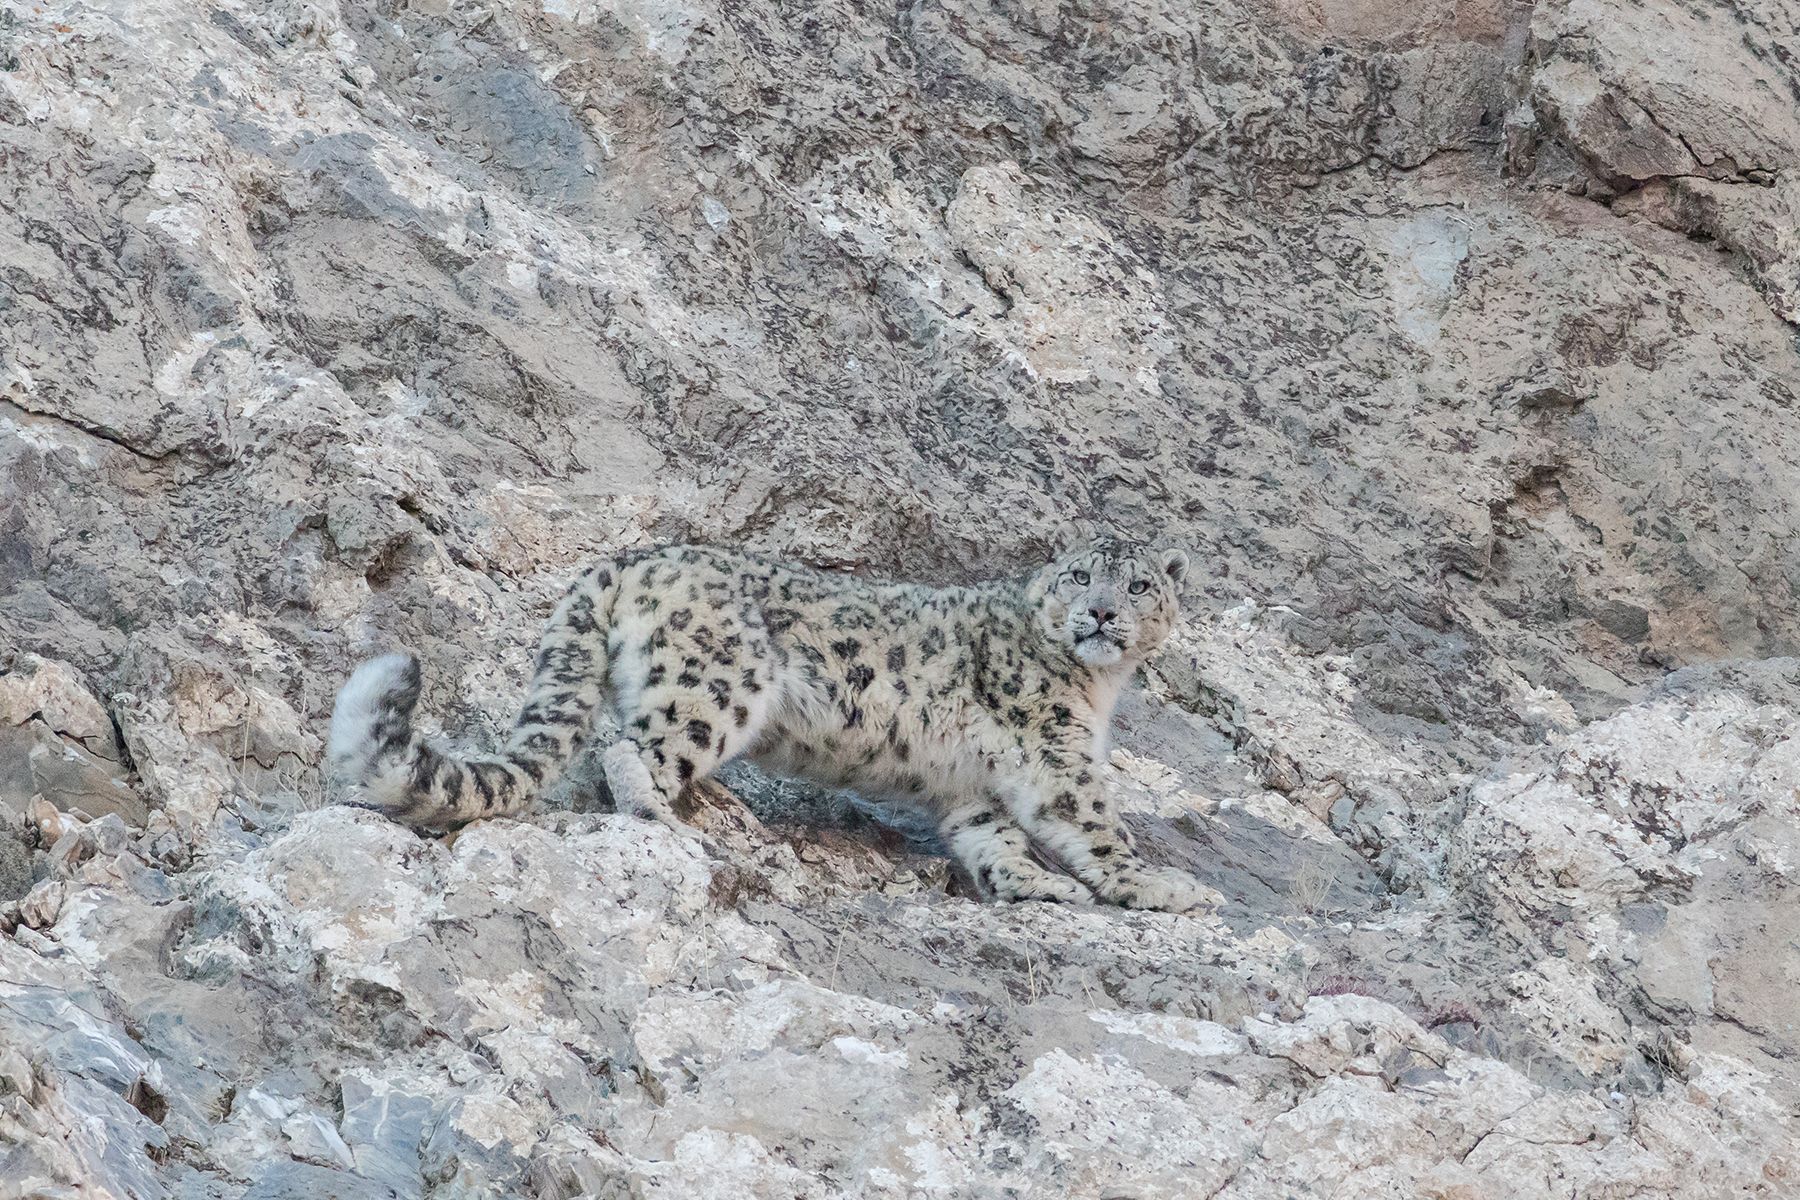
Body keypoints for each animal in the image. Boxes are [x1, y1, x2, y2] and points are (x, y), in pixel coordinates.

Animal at [327, 528, 1209, 913]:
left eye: (1138, 585)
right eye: (1081, 575)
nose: (1101, 613)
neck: (1099, 690)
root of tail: (631, 556)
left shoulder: (976, 789)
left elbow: (994, 839)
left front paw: (1033, 883)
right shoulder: (1056, 751)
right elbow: (1096, 824)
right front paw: (1163, 886)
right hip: (716, 685)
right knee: (627, 747)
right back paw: (657, 812)